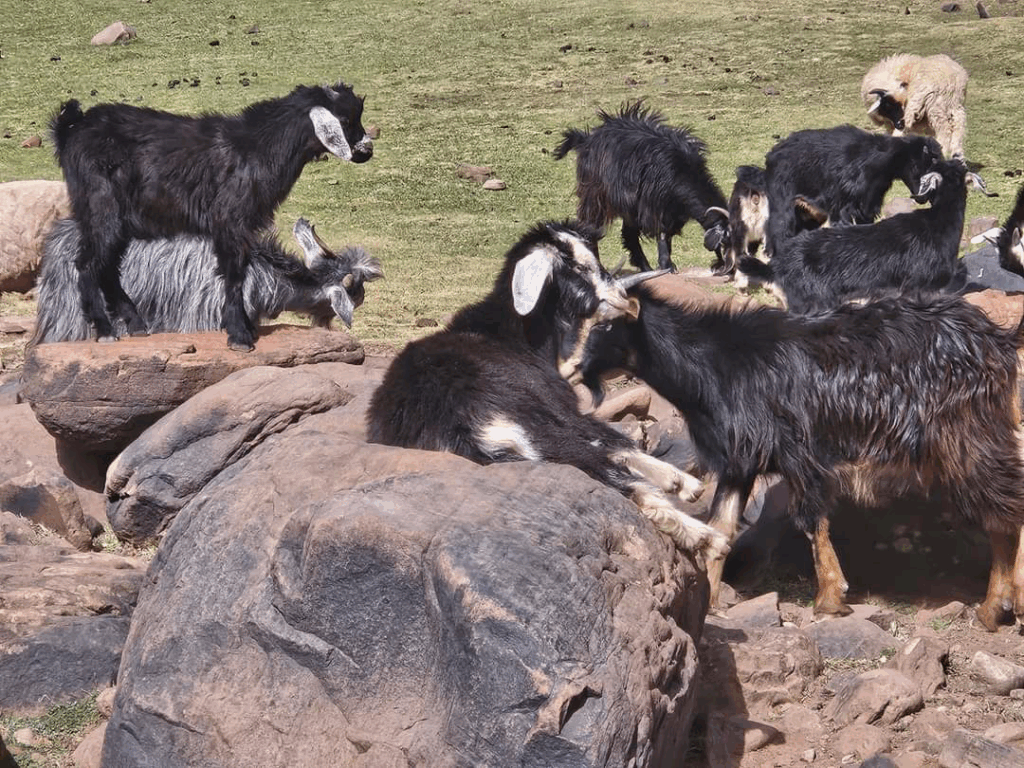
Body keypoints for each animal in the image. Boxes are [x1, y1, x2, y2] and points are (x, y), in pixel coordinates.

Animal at [366, 220, 728, 558]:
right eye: (580, 268)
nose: (623, 299)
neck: (513, 334)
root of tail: (458, 427)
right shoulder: (560, 406)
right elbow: (613, 438)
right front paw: (683, 482)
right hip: (537, 423)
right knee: (618, 475)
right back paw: (705, 537)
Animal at [553, 102, 729, 273]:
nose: (728, 269)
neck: (683, 171)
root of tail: (586, 139)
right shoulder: (653, 205)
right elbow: (662, 232)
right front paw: (667, 265)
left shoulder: (671, 213)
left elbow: (667, 235)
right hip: (595, 194)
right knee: (591, 229)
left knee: (628, 234)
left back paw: (645, 267)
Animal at [576, 286, 1024, 631]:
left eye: (605, 323)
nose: (576, 366)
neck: (717, 364)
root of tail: (997, 339)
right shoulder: (741, 461)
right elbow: (721, 528)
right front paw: (711, 600)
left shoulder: (798, 452)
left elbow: (811, 521)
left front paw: (829, 598)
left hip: (969, 436)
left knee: (1005, 508)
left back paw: (993, 608)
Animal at [763, 124, 942, 259]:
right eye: (928, 163)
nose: (924, 198)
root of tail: (771, 155)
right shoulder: (843, 208)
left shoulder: (867, 207)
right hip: (783, 203)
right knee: (778, 230)